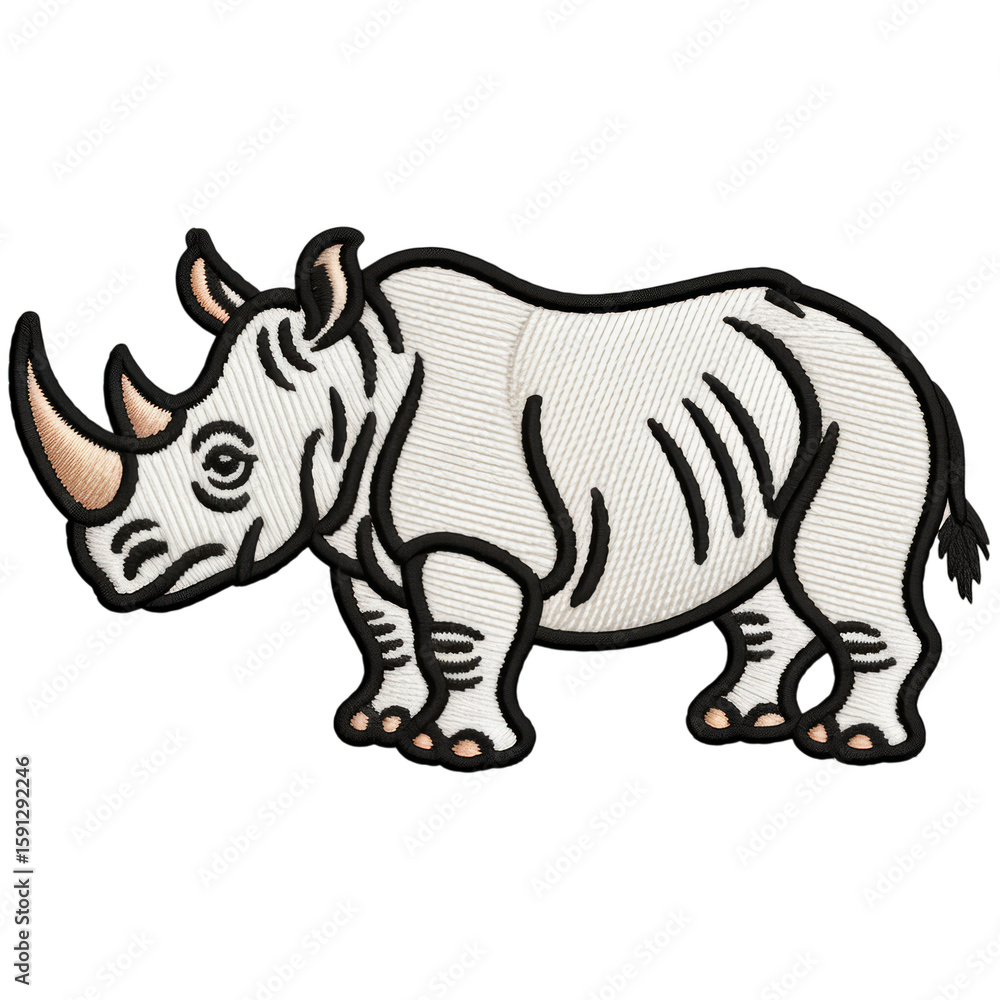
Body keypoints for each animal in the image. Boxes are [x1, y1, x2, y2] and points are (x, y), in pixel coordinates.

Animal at [10, 228, 988, 770]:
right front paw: (376, 724)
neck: (355, 382)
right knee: (766, 584)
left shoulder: (469, 536)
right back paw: (730, 722)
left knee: (839, 567)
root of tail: (911, 366)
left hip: (866, 410)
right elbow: (385, 633)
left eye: (224, 462)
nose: (107, 567)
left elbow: (457, 641)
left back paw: (849, 746)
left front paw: (458, 753)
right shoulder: (353, 529)